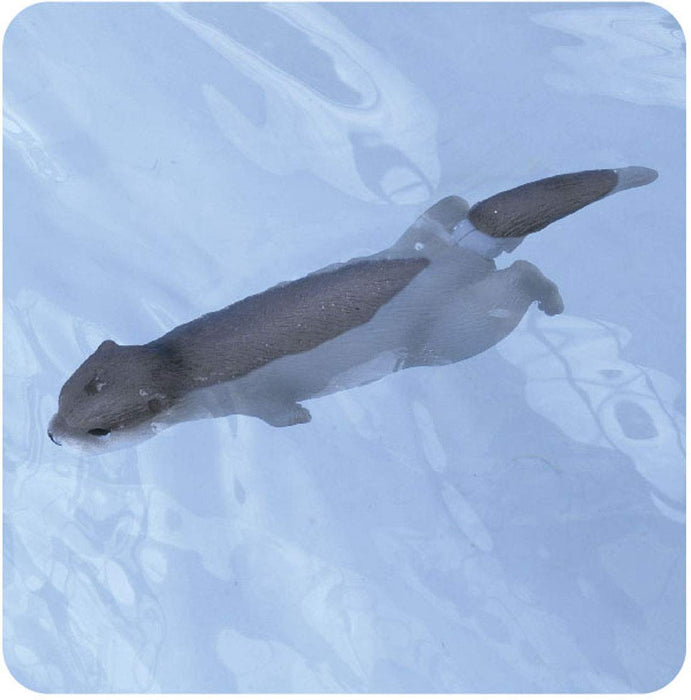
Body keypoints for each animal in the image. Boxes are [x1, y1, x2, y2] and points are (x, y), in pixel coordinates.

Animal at [48, 166, 658, 453]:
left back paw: (553, 301)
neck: (186, 365)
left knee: (521, 280)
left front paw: (301, 421)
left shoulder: (255, 398)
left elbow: (284, 415)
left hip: (453, 332)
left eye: (100, 431)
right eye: (64, 395)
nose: (54, 435)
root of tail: (459, 250)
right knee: (454, 207)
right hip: (431, 229)